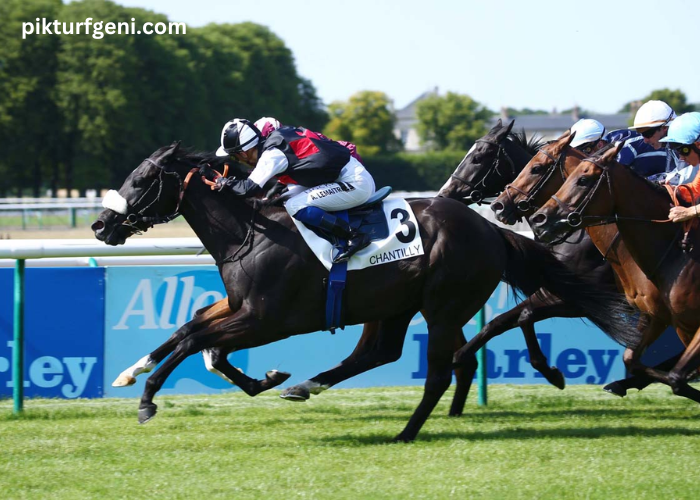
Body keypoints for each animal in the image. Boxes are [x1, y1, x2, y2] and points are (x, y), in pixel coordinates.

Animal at [90, 143, 632, 440]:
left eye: (142, 179)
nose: (99, 225)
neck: (250, 232)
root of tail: (491, 230)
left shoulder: (265, 319)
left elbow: (194, 340)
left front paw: (148, 399)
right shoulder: (240, 307)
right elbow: (194, 331)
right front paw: (131, 372)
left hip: (443, 307)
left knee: (439, 369)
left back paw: (405, 431)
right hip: (392, 305)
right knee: (378, 352)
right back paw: (306, 385)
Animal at [532, 143, 700, 400]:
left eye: (583, 179)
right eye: (568, 177)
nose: (539, 219)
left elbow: (676, 376)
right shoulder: (663, 317)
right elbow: (635, 361)